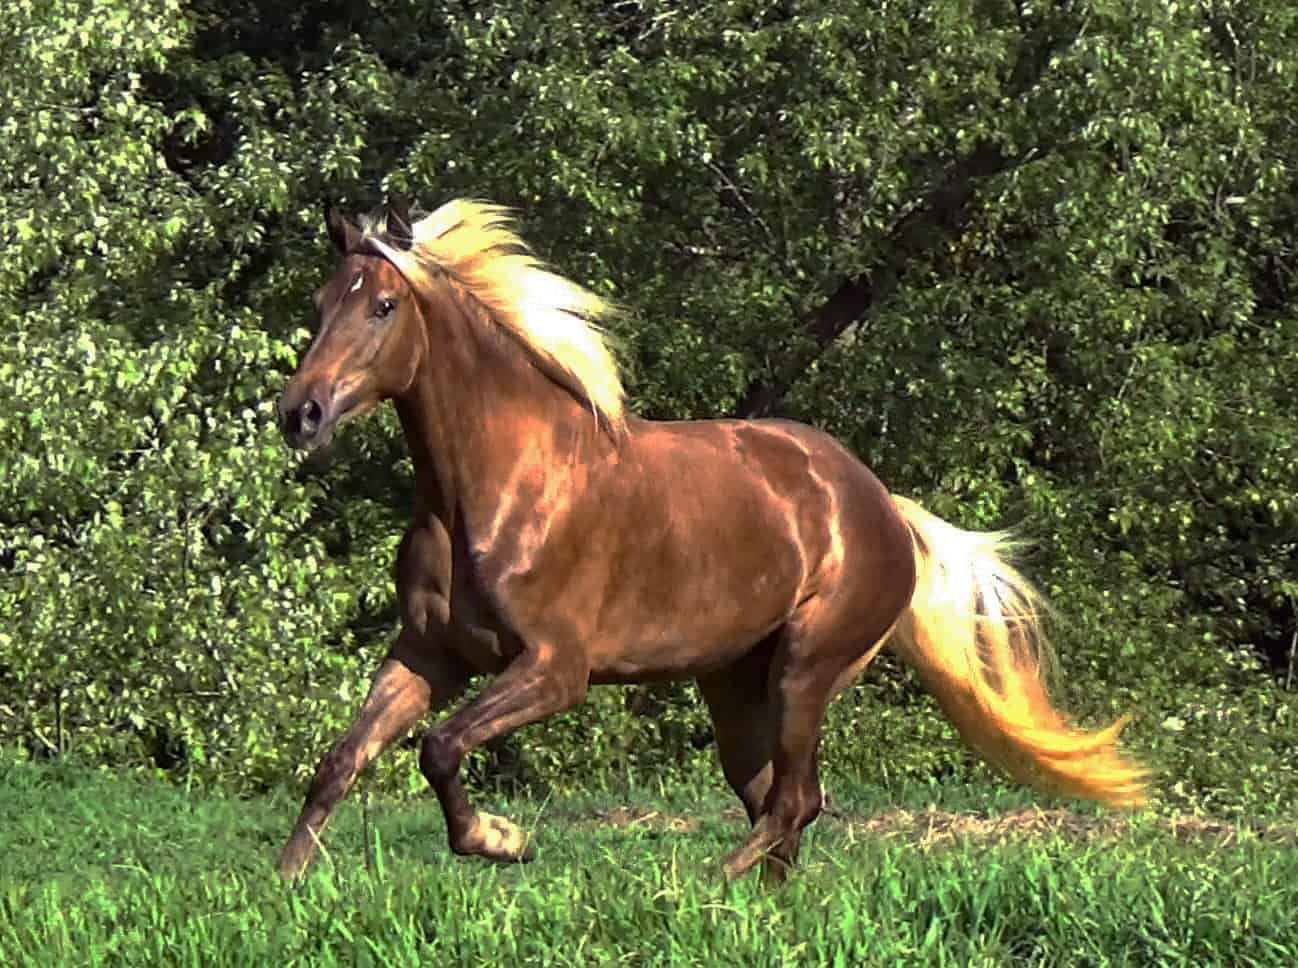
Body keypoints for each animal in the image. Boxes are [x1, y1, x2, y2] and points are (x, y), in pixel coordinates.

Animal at [274, 195, 1149, 883]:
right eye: (320, 301)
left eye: (382, 306)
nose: (300, 414)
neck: (494, 491)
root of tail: (881, 506)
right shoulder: (429, 653)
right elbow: (342, 760)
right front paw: (285, 882)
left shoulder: (555, 670)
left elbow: (441, 748)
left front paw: (501, 839)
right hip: (734, 686)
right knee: (782, 804)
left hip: (806, 668)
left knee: (794, 801)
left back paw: (704, 885)